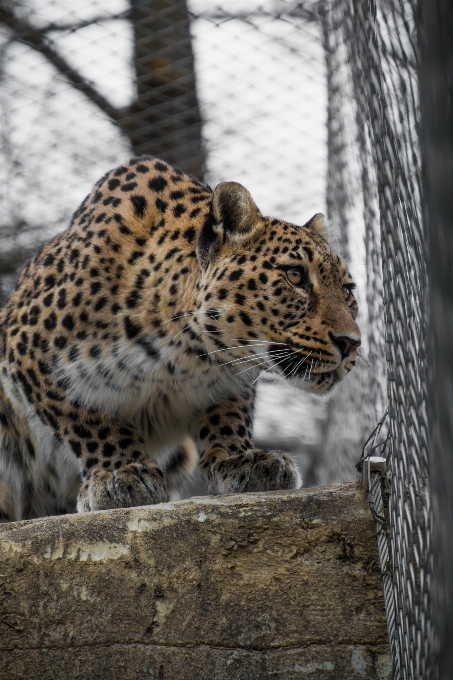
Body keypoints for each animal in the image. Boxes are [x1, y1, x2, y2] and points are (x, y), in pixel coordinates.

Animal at [0, 158, 360, 520]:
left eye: (347, 291)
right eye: (295, 276)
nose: (351, 343)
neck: (186, 354)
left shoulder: (230, 378)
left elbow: (229, 415)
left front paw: (240, 460)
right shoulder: (26, 352)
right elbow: (87, 419)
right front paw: (122, 473)